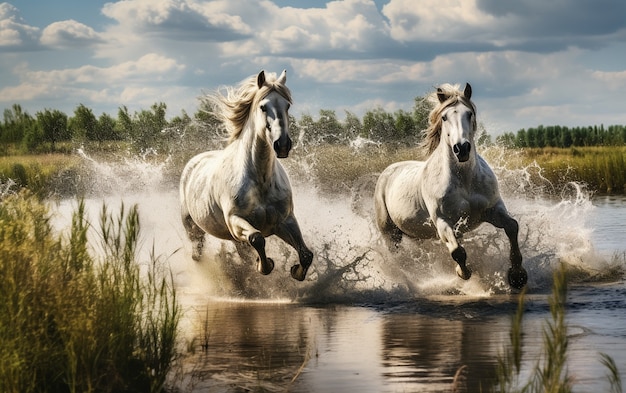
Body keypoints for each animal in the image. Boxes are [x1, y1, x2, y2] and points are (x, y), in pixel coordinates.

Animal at [178, 69, 312, 278]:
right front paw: (265, 265)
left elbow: (306, 255)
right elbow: (257, 238)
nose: (282, 145)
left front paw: (296, 271)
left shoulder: (285, 221)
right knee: (197, 253)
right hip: (193, 229)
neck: (261, 180)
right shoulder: (236, 221)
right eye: (263, 107)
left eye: (287, 105)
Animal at [370, 83, 528, 288]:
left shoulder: (492, 210)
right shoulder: (443, 221)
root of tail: (387, 173)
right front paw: (463, 273)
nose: (461, 149)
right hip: (390, 233)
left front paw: (517, 276)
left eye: (469, 113)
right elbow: (457, 252)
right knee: (399, 257)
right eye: (444, 117)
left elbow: (512, 227)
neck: (465, 181)